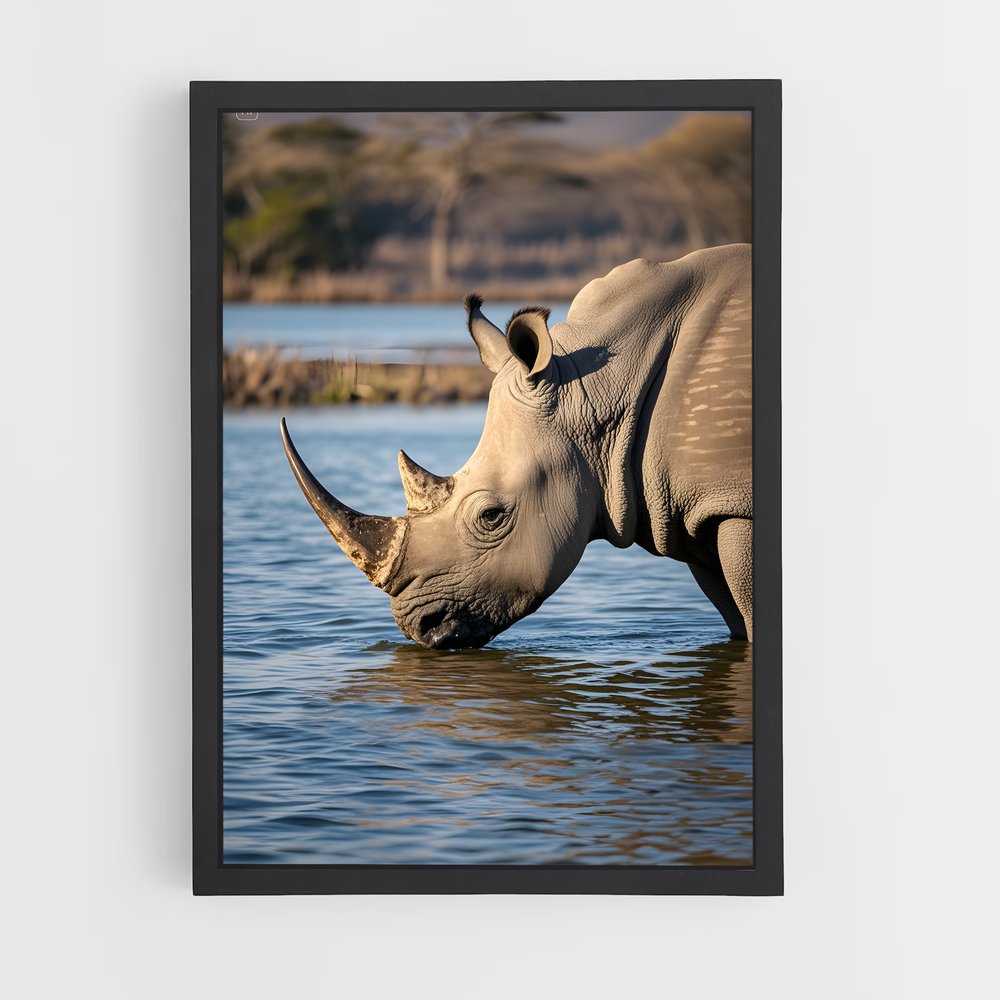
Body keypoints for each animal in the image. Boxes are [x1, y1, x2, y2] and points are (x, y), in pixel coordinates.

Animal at [281, 243, 753, 648]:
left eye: (491, 516)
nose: (419, 627)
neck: (598, 384)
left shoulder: (733, 504)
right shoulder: (698, 510)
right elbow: (737, 617)